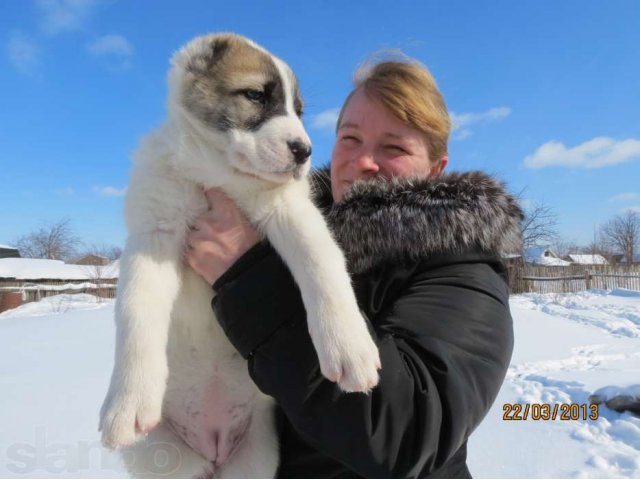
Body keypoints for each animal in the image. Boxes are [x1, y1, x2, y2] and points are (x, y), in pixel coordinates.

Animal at [99, 31, 380, 478]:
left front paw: (350, 348)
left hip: (253, 458)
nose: (304, 151)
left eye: (299, 111)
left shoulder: (291, 212)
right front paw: (127, 404)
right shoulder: (154, 235)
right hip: (167, 461)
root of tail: (212, 446)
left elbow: (323, 268)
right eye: (255, 95)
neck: (217, 175)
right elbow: (135, 311)